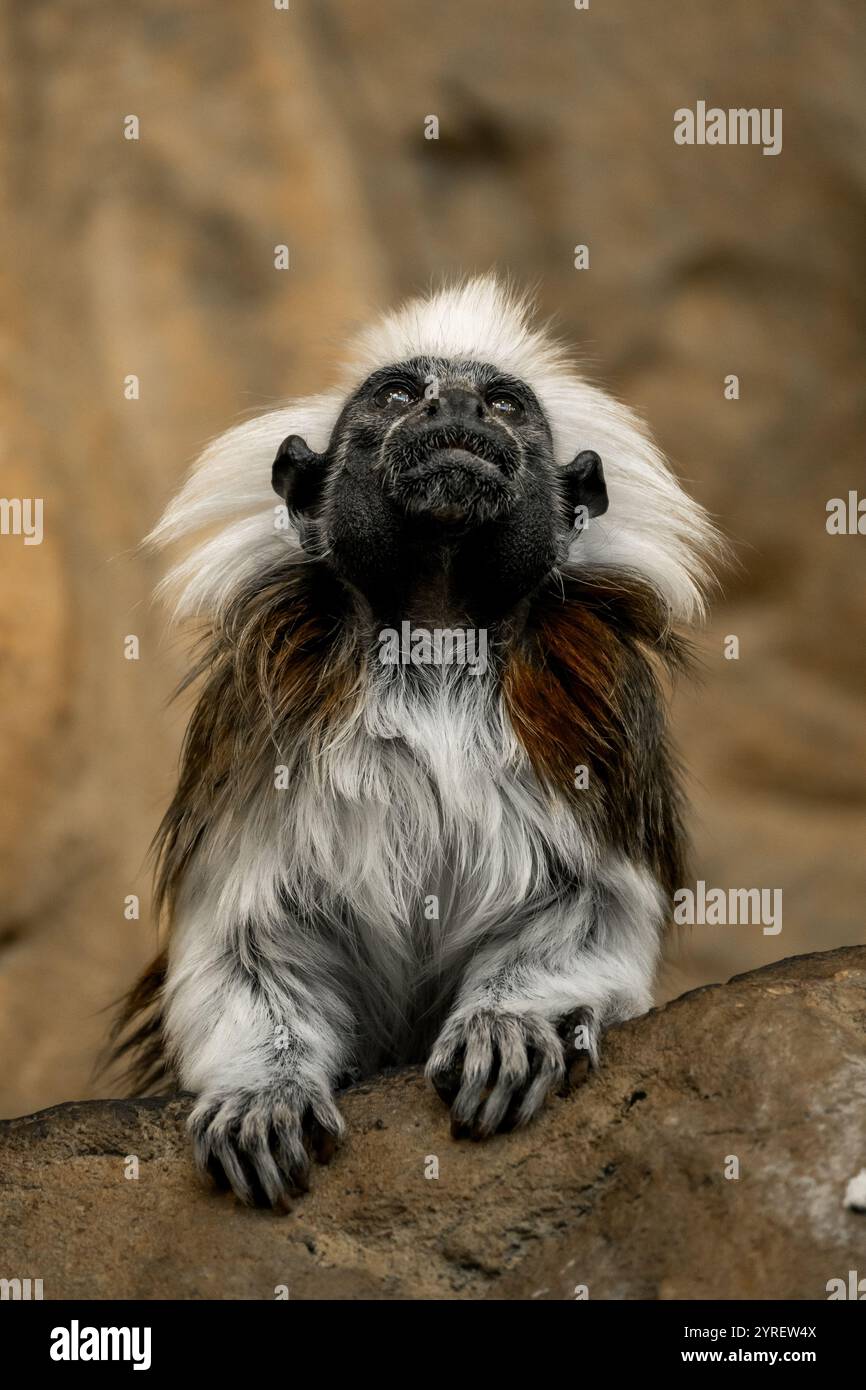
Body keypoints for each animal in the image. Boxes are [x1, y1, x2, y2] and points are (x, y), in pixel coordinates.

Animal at [110, 276, 719, 1207]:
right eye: (400, 396)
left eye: (503, 406)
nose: (458, 405)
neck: (435, 636)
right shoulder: (259, 724)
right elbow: (251, 938)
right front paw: (263, 1092)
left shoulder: (595, 718)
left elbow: (592, 906)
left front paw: (511, 1023)